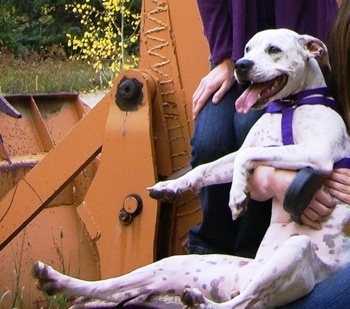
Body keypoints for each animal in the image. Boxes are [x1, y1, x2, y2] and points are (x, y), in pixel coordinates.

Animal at [32, 28, 350, 306]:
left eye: (274, 49)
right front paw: (170, 187)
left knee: (244, 304)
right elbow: (208, 168)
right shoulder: (237, 157)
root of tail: (245, 279)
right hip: (174, 265)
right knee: (115, 287)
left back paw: (199, 302)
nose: (241, 65)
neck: (288, 107)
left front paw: (237, 196)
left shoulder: (317, 153)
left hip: (296, 251)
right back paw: (53, 279)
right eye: (247, 49)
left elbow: (249, 157)